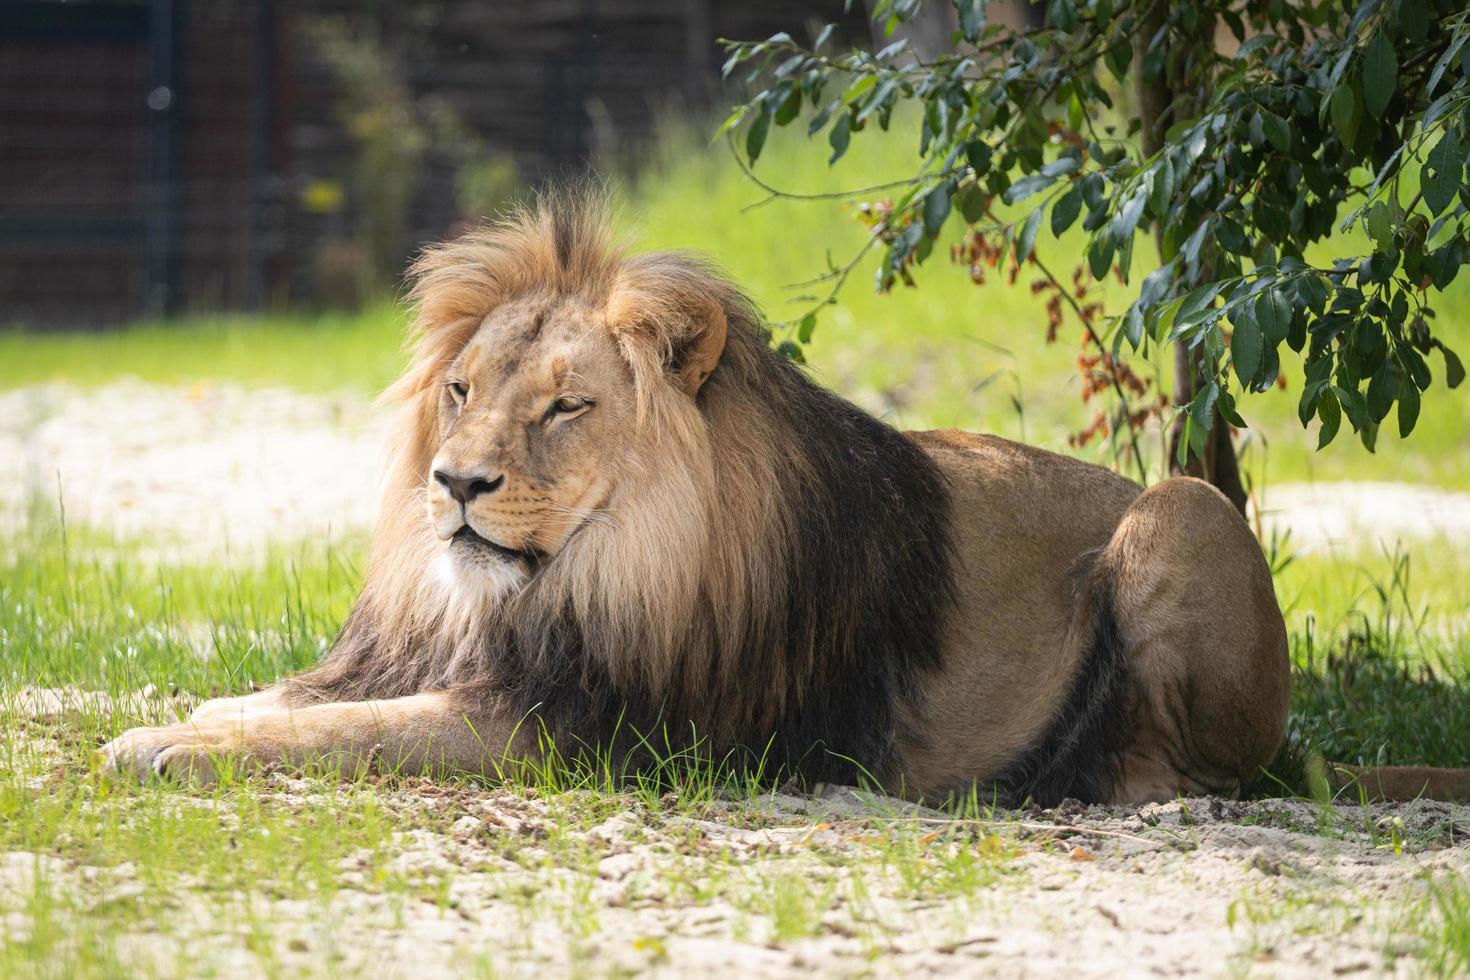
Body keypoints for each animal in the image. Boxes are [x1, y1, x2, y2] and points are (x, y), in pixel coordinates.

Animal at [100, 193, 1470, 805]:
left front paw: (165, 744)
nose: (455, 483)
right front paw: (181, 713)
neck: (593, 570)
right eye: (460, 390)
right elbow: (291, 696)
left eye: (565, 407)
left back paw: (1065, 772)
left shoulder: (585, 728)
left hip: (1182, 508)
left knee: (1197, 772)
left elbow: (348, 731)